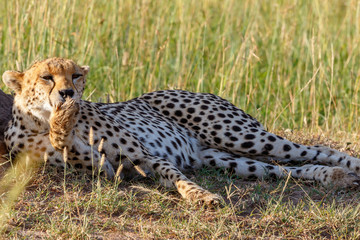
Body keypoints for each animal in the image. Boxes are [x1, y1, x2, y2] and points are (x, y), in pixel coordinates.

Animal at [2, 57, 360, 205]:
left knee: (313, 150)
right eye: (46, 77)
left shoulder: (142, 156)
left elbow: (176, 177)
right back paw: (332, 176)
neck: (42, 120)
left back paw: (347, 168)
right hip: (223, 158)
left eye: (75, 75)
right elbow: (76, 149)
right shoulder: (104, 168)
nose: (68, 94)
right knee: (284, 171)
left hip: (237, 134)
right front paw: (62, 129)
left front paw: (201, 196)